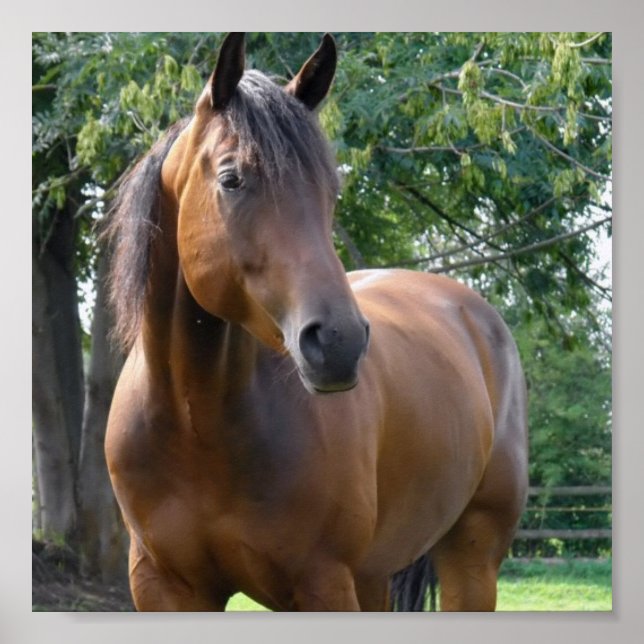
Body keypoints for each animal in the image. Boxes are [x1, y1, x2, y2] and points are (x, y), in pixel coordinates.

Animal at [104, 32, 528, 612]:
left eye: (330, 189)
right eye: (232, 179)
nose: (339, 343)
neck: (196, 426)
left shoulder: (322, 582)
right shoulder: (163, 586)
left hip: (471, 559)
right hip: (375, 576)